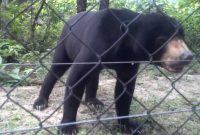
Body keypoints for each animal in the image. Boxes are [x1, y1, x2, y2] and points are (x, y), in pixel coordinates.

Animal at [33, 7, 192, 134]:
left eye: (182, 36)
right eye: (161, 40)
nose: (187, 56)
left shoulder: (129, 63)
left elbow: (124, 90)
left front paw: (128, 125)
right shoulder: (95, 46)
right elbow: (76, 79)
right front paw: (68, 127)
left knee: (93, 76)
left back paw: (94, 101)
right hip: (64, 42)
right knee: (56, 69)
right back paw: (40, 102)